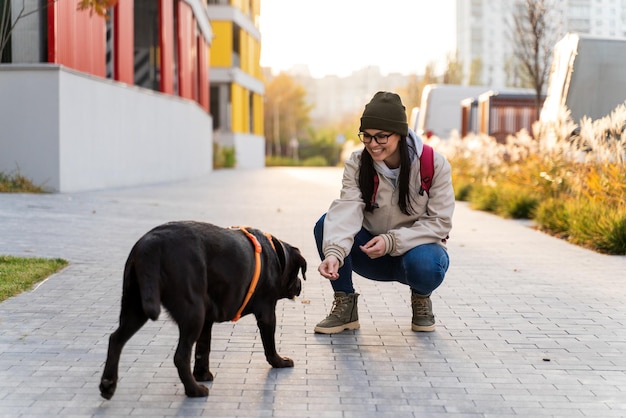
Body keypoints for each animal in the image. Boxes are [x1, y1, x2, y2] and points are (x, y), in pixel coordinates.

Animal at [98, 219, 306, 398]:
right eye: (297, 271)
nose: (300, 285)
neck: (276, 255)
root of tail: (150, 242)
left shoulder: (207, 319)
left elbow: (203, 348)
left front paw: (202, 374)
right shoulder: (267, 311)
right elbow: (270, 344)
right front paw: (279, 361)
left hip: (136, 307)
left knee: (116, 339)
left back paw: (108, 384)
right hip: (192, 313)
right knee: (180, 356)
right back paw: (194, 390)